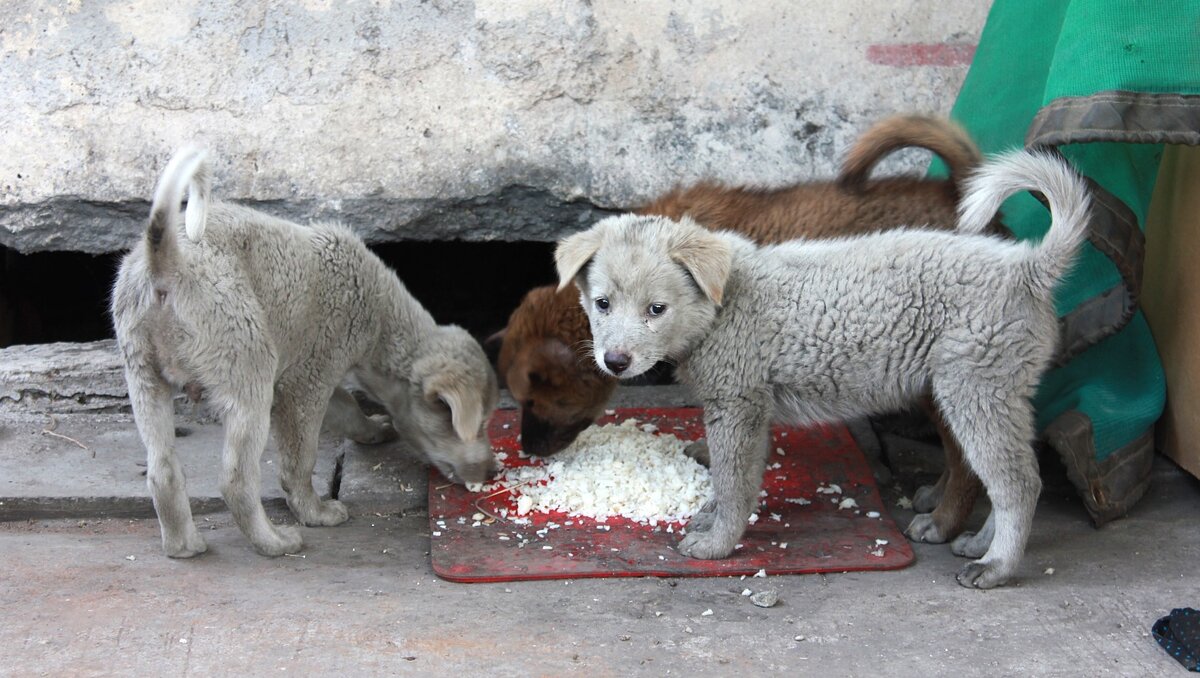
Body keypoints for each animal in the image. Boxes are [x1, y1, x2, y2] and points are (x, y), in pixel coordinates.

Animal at [114, 147, 499, 554]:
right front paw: (316, 512)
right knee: (236, 479)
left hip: (143, 375)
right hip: (248, 364)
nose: (494, 472)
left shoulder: (310, 372)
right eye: (479, 423)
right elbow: (301, 459)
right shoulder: (307, 382)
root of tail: (165, 264)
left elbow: (348, 409)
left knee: (162, 472)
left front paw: (374, 429)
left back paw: (184, 545)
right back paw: (275, 542)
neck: (379, 316)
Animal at [556, 149, 1094, 588]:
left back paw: (995, 565)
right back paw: (980, 542)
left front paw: (716, 544)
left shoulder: (738, 405)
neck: (724, 303)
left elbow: (732, 482)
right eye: (602, 304)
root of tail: (1027, 268)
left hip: (975, 390)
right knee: (1013, 475)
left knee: (1016, 483)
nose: (615, 362)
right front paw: (710, 518)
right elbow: (737, 481)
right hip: (1000, 393)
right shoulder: (751, 409)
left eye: (656, 309)